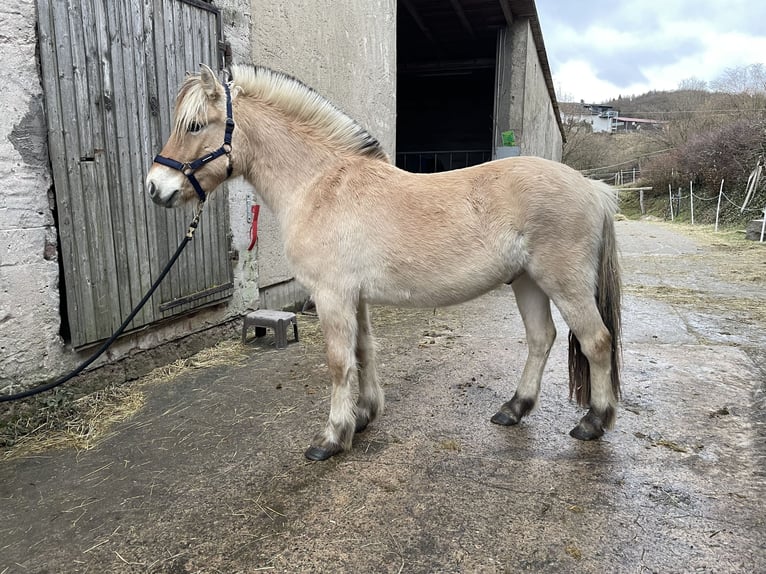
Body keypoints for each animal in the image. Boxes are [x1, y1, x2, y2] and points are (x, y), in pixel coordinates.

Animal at [146, 64, 622, 461]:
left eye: (193, 125)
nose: (154, 187)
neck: (320, 185)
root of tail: (593, 188)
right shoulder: (353, 297)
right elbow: (363, 350)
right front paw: (364, 416)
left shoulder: (332, 295)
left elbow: (339, 362)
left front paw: (331, 437)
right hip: (527, 281)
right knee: (542, 339)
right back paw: (514, 408)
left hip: (562, 282)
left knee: (597, 341)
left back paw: (593, 422)